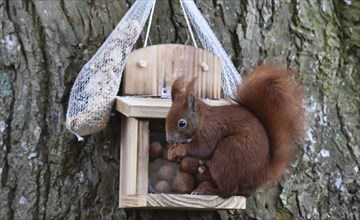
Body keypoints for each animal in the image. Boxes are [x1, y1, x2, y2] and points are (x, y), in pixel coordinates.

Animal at [165, 63, 306, 198]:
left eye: (182, 123)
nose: (169, 139)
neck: (202, 120)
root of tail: (261, 174)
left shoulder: (211, 130)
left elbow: (204, 148)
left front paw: (179, 150)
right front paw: (172, 150)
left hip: (228, 154)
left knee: (228, 191)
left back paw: (206, 190)